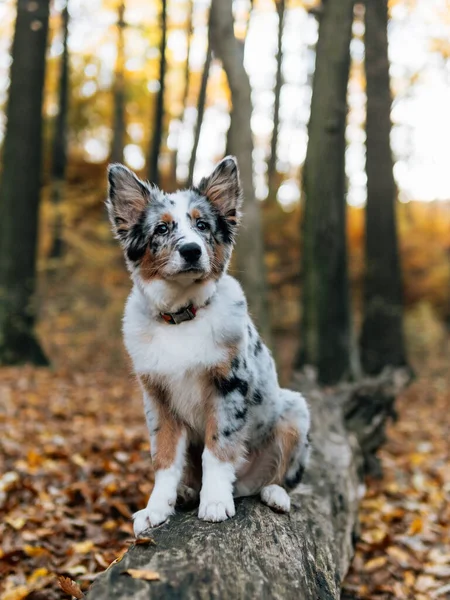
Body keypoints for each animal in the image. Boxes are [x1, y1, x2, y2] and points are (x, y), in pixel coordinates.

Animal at [106, 156, 310, 536]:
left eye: (202, 225)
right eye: (161, 229)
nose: (191, 250)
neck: (182, 315)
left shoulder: (228, 386)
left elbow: (218, 448)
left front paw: (215, 502)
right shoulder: (157, 397)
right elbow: (164, 458)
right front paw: (156, 509)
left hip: (295, 410)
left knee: (280, 478)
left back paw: (273, 494)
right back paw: (187, 493)